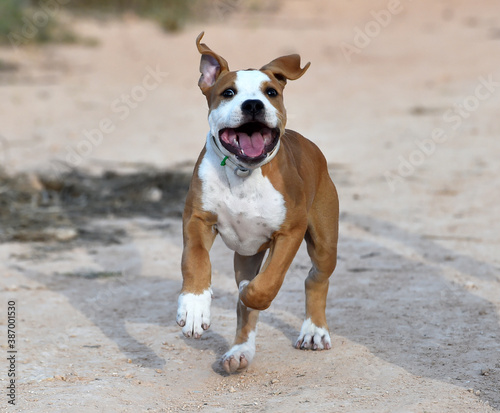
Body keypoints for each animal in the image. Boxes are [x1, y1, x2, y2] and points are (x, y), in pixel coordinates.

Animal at [177, 32, 340, 374]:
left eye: (271, 92)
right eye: (228, 93)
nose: (253, 104)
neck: (244, 172)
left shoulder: (290, 231)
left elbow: (267, 283)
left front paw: (249, 294)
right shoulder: (197, 219)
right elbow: (196, 261)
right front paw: (195, 306)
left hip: (323, 241)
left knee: (315, 278)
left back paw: (314, 331)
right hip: (247, 253)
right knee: (247, 311)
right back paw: (240, 351)